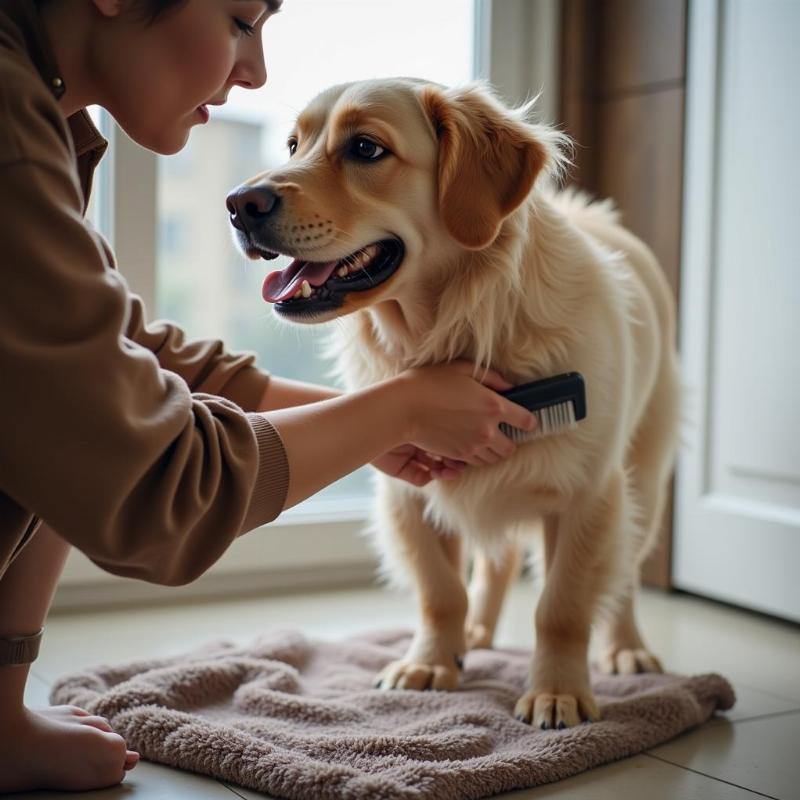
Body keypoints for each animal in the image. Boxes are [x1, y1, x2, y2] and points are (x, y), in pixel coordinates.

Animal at [227, 78, 680, 728]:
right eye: (294, 143)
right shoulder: (408, 490)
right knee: (495, 564)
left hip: (643, 476)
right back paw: (478, 635)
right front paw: (431, 662)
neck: (462, 318)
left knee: (622, 577)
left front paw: (558, 690)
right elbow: (440, 591)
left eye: (365, 148)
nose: (240, 205)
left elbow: (562, 606)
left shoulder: (589, 493)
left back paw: (627, 649)